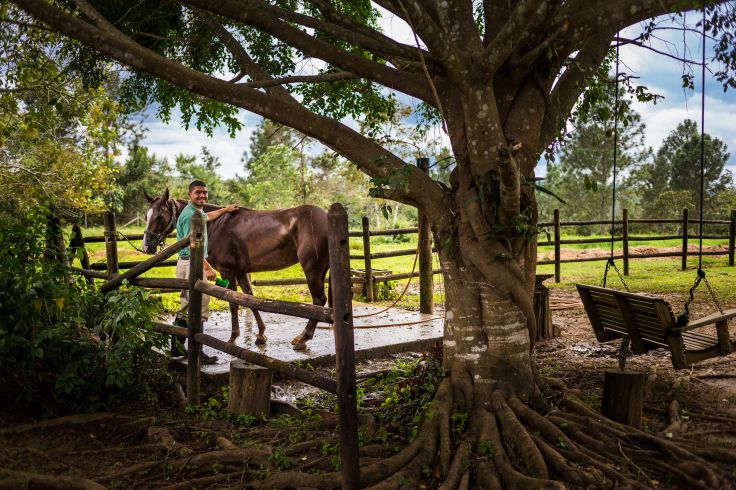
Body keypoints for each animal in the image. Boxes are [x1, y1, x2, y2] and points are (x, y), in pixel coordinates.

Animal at [142, 189, 330, 352]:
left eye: (159, 216)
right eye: (146, 216)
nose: (146, 247)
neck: (215, 225)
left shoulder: (228, 272)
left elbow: (233, 302)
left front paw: (233, 337)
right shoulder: (241, 272)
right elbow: (249, 299)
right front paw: (260, 334)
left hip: (312, 269)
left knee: (318, 300)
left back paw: (302, 339)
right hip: (321, 270)